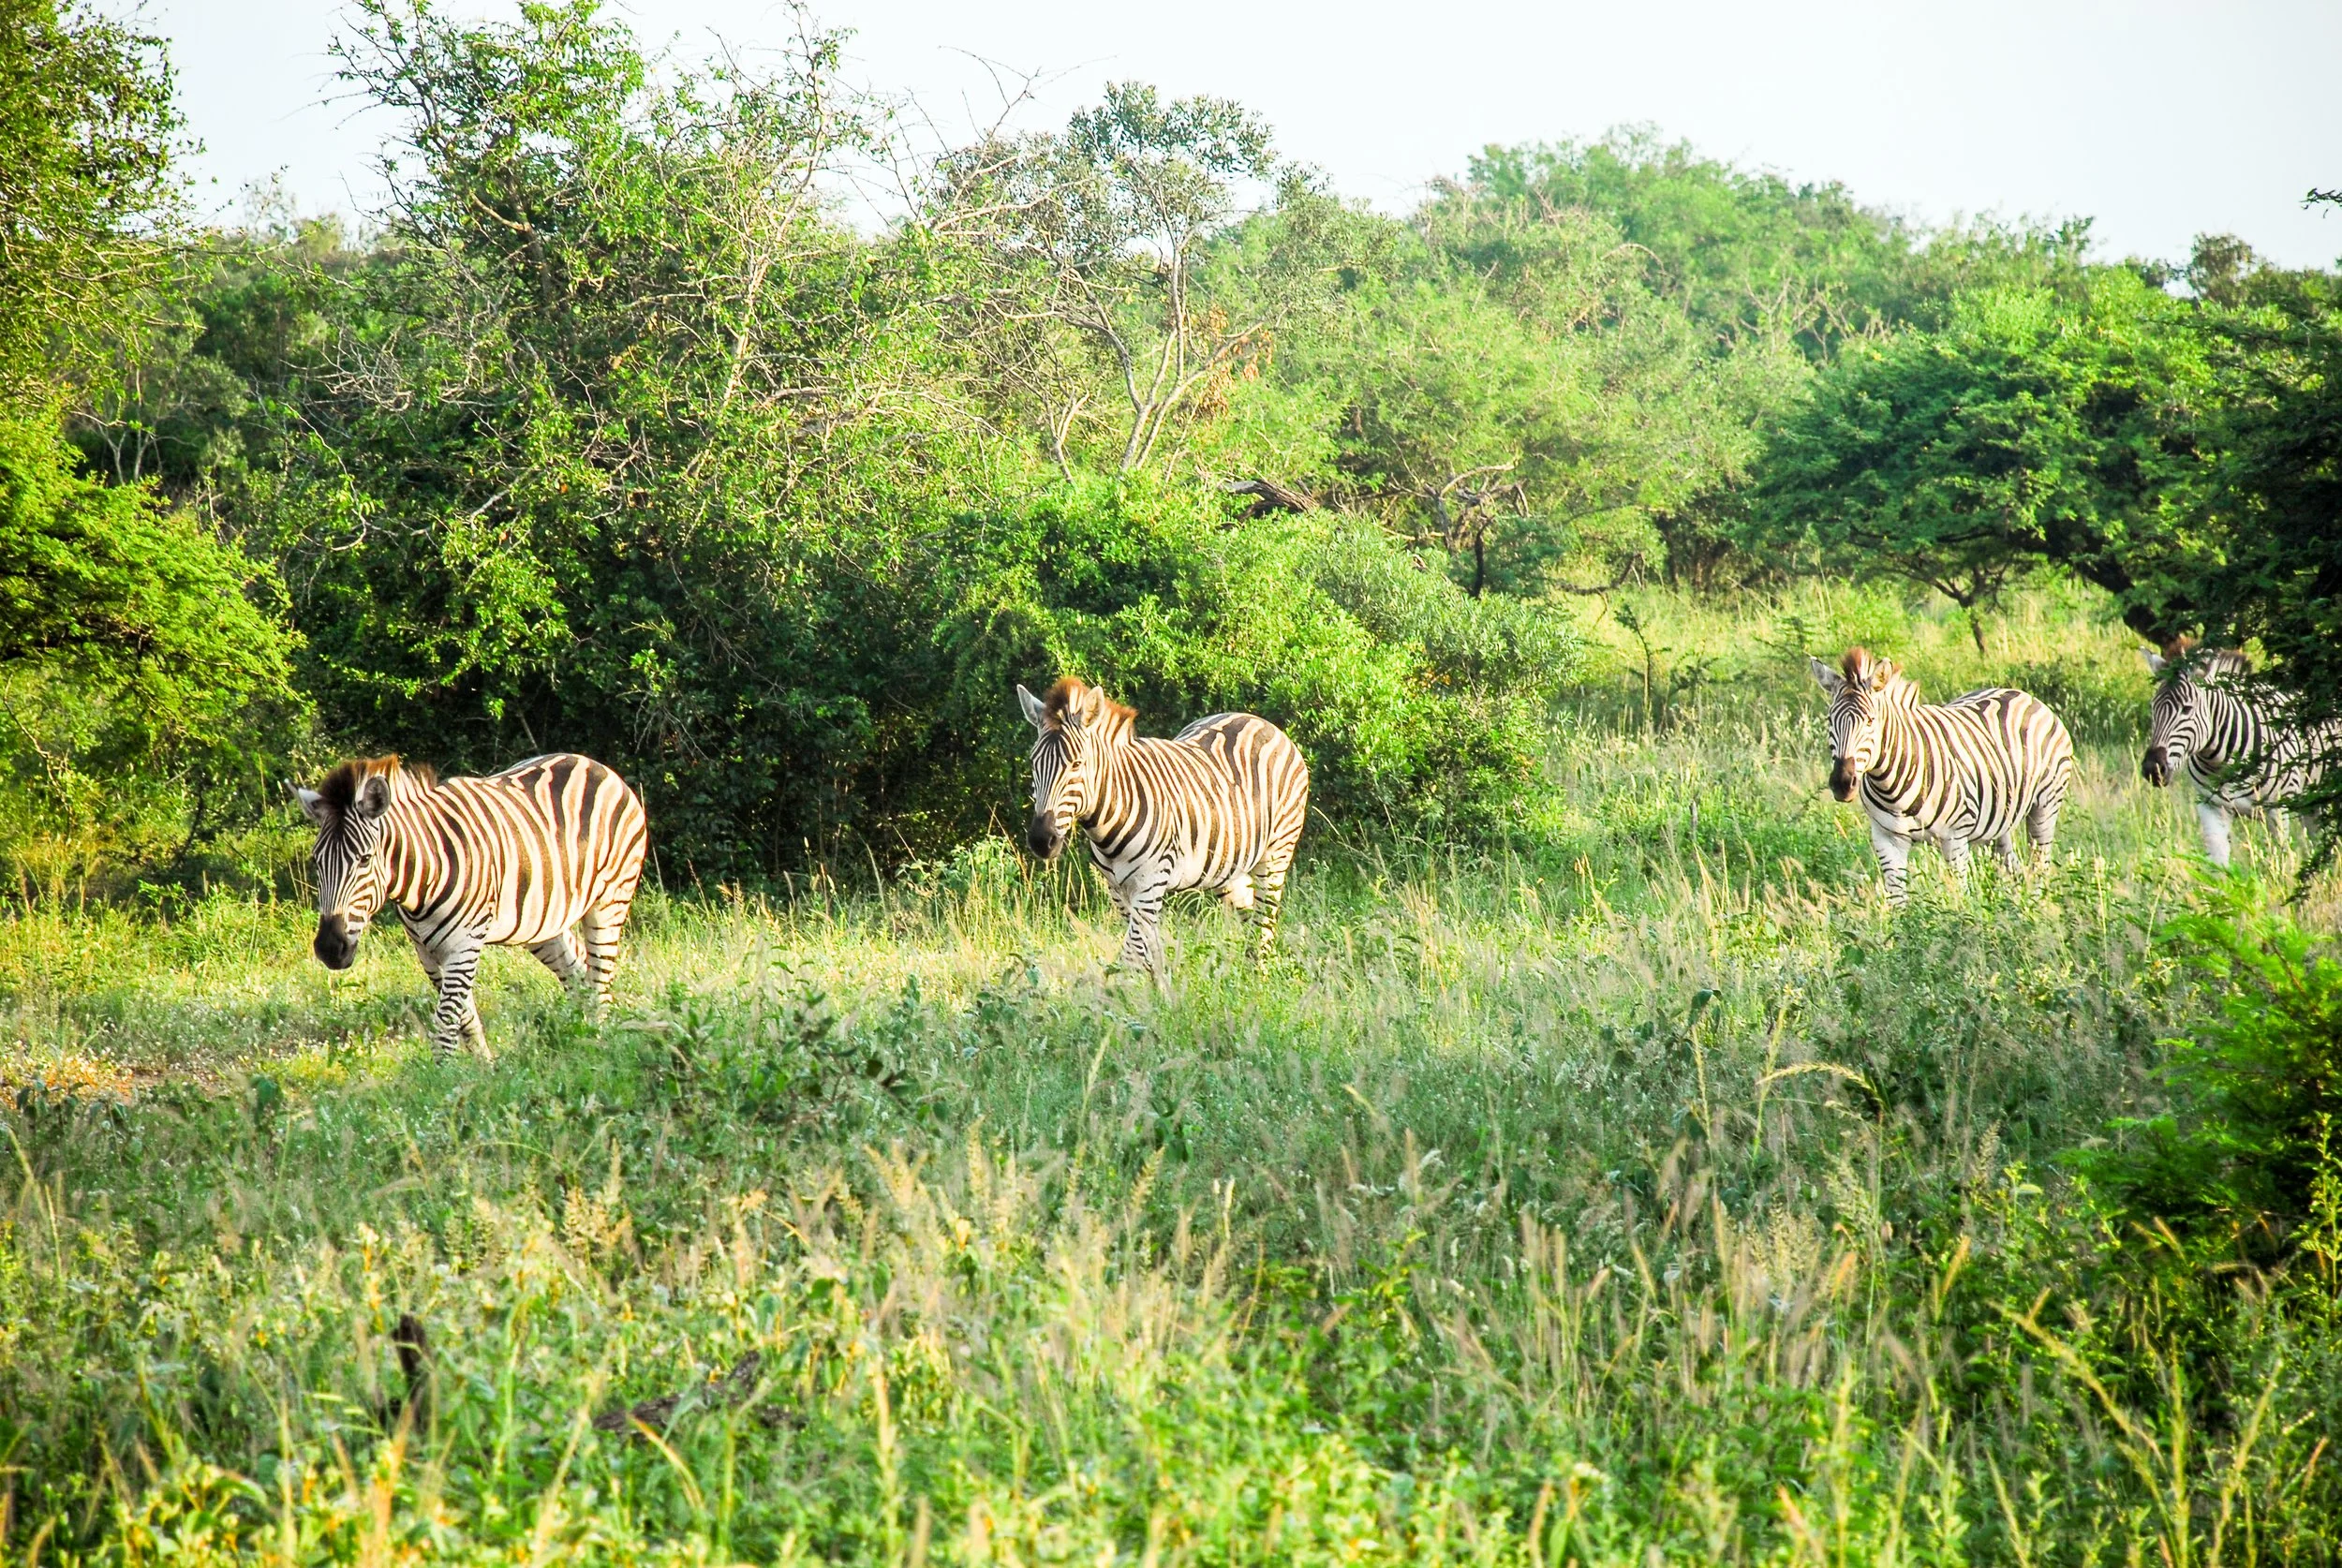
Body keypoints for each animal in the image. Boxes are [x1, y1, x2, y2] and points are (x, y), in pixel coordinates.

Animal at [296, 752, 650, 1057]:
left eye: (365, 859)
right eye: (315, 861)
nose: (329, 948)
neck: (423, 879)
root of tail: (595, 765)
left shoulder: (464, 943)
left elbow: (446, 1022)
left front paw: (443, 1081)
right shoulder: (427, 951)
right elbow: (464, 1020)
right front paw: (483, 1070)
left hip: (611, 901)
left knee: (599, 984)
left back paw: (598, 1048)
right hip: (545, 919)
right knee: (579, 976)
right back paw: (578, 1044)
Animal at [1017, 677, 1309, 974]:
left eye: (1077, 764)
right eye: (1033, 763)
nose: (1041, 840)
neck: (1111, 818)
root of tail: (1260, 721)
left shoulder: (1151, 882)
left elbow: (1131, 955)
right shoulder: (1118, 890)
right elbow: (1147, 952)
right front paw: (1162, 984)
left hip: (1277, 852)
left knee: (1265, 919)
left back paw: (1260, 976)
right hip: (1226, 863)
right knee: (1250, 914)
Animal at [1809, 647, 2075, 905]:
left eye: (1870, 721)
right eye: (1830, 720)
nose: (1842, 783)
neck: (1891, 786)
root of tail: (2020, 694)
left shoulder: (1955, 838)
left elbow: (1960, 897)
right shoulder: (1887, 839)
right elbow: (1897, 902)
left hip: (2045, 807)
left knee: (2039, 868)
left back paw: (2034, 910)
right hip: (1999, 823)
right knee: (2013, 869)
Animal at [2139, 646, 2334, 867]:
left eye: (2187, 709)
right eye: (2152, 708)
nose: (2152, 768)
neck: (2221, 763)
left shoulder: (2276, 809)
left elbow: (2282, 861)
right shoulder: (2212, 808)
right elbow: (2218, 867)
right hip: (2312, 802)